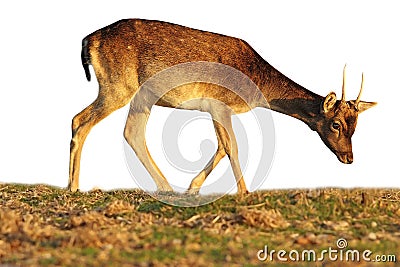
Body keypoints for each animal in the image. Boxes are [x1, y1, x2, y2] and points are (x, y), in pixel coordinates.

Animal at [67, 18, 376, 195]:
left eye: (356, 127)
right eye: (335, 124)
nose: (349, 158)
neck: (256, 86)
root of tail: (87, 41)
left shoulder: (214, 109)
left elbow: (219, 147)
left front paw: (192, 189)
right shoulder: (219, 103)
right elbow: (232, 147)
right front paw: (244, 192)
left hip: (141, 95)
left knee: (131, 132)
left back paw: (166, 187)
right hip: (118, 85)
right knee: (80, 120)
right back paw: (73, 186)